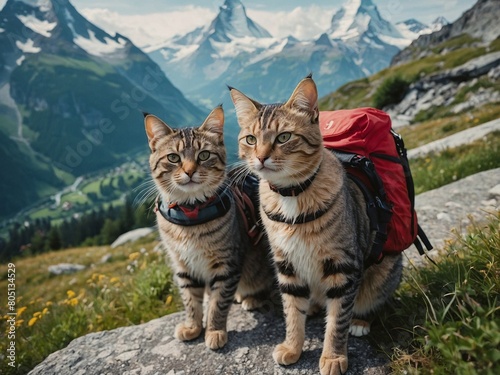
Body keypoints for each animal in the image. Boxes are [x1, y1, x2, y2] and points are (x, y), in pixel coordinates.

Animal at [145, 107, 274, 352]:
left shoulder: (226, 266)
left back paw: (251, 298)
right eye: (173, 158)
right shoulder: (183, 265)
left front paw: (214, 331)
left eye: (203, 155)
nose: (189, 171)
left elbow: (218, 303)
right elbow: (190, 301)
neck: (191, 214)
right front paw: (192, 326)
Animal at [229, 76, 402, 375]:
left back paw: (361, 321)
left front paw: (333, 356)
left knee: (373, 300)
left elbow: (337, 320)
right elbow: (291, 312)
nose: (261, 157)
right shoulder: (286, 265)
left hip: (385, 269)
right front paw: (292, 346)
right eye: (250, 139)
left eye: (283, 137)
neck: (290, 195)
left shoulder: (343, 267)